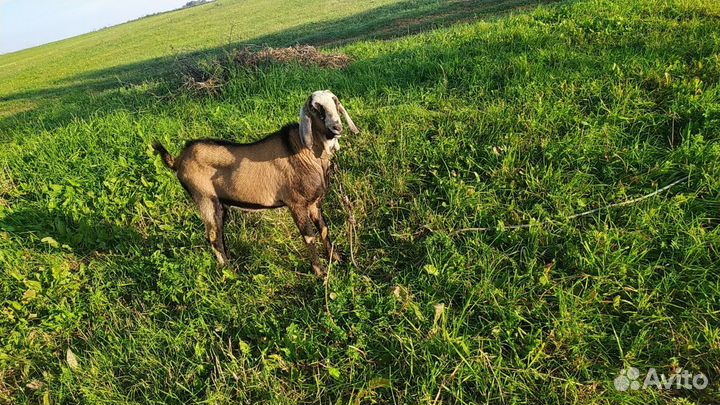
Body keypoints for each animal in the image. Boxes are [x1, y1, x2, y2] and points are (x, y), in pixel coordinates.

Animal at [153, 89, 360, 276]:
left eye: (335, 102)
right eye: (316, 108)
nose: (337, 127)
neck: (305, 152)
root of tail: (178, 160)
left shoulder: (314, 203)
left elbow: (324, 229)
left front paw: (337, 258)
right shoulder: (297, 204)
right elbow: (309, 237)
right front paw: (320, 272)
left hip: (220, 204)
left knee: (219, 234)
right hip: (205, 200)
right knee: (213, 237)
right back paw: (230, 272)